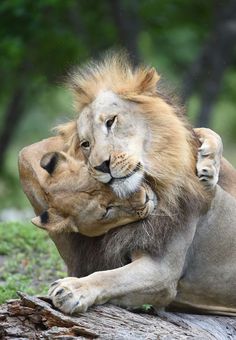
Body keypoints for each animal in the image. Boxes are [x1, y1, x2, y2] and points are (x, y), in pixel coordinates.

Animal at [39, 53, 235, 316]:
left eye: (111, 121)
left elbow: (110, 277)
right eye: (85, 144)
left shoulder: (163, 273)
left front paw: (72, 290)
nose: (101, 166)